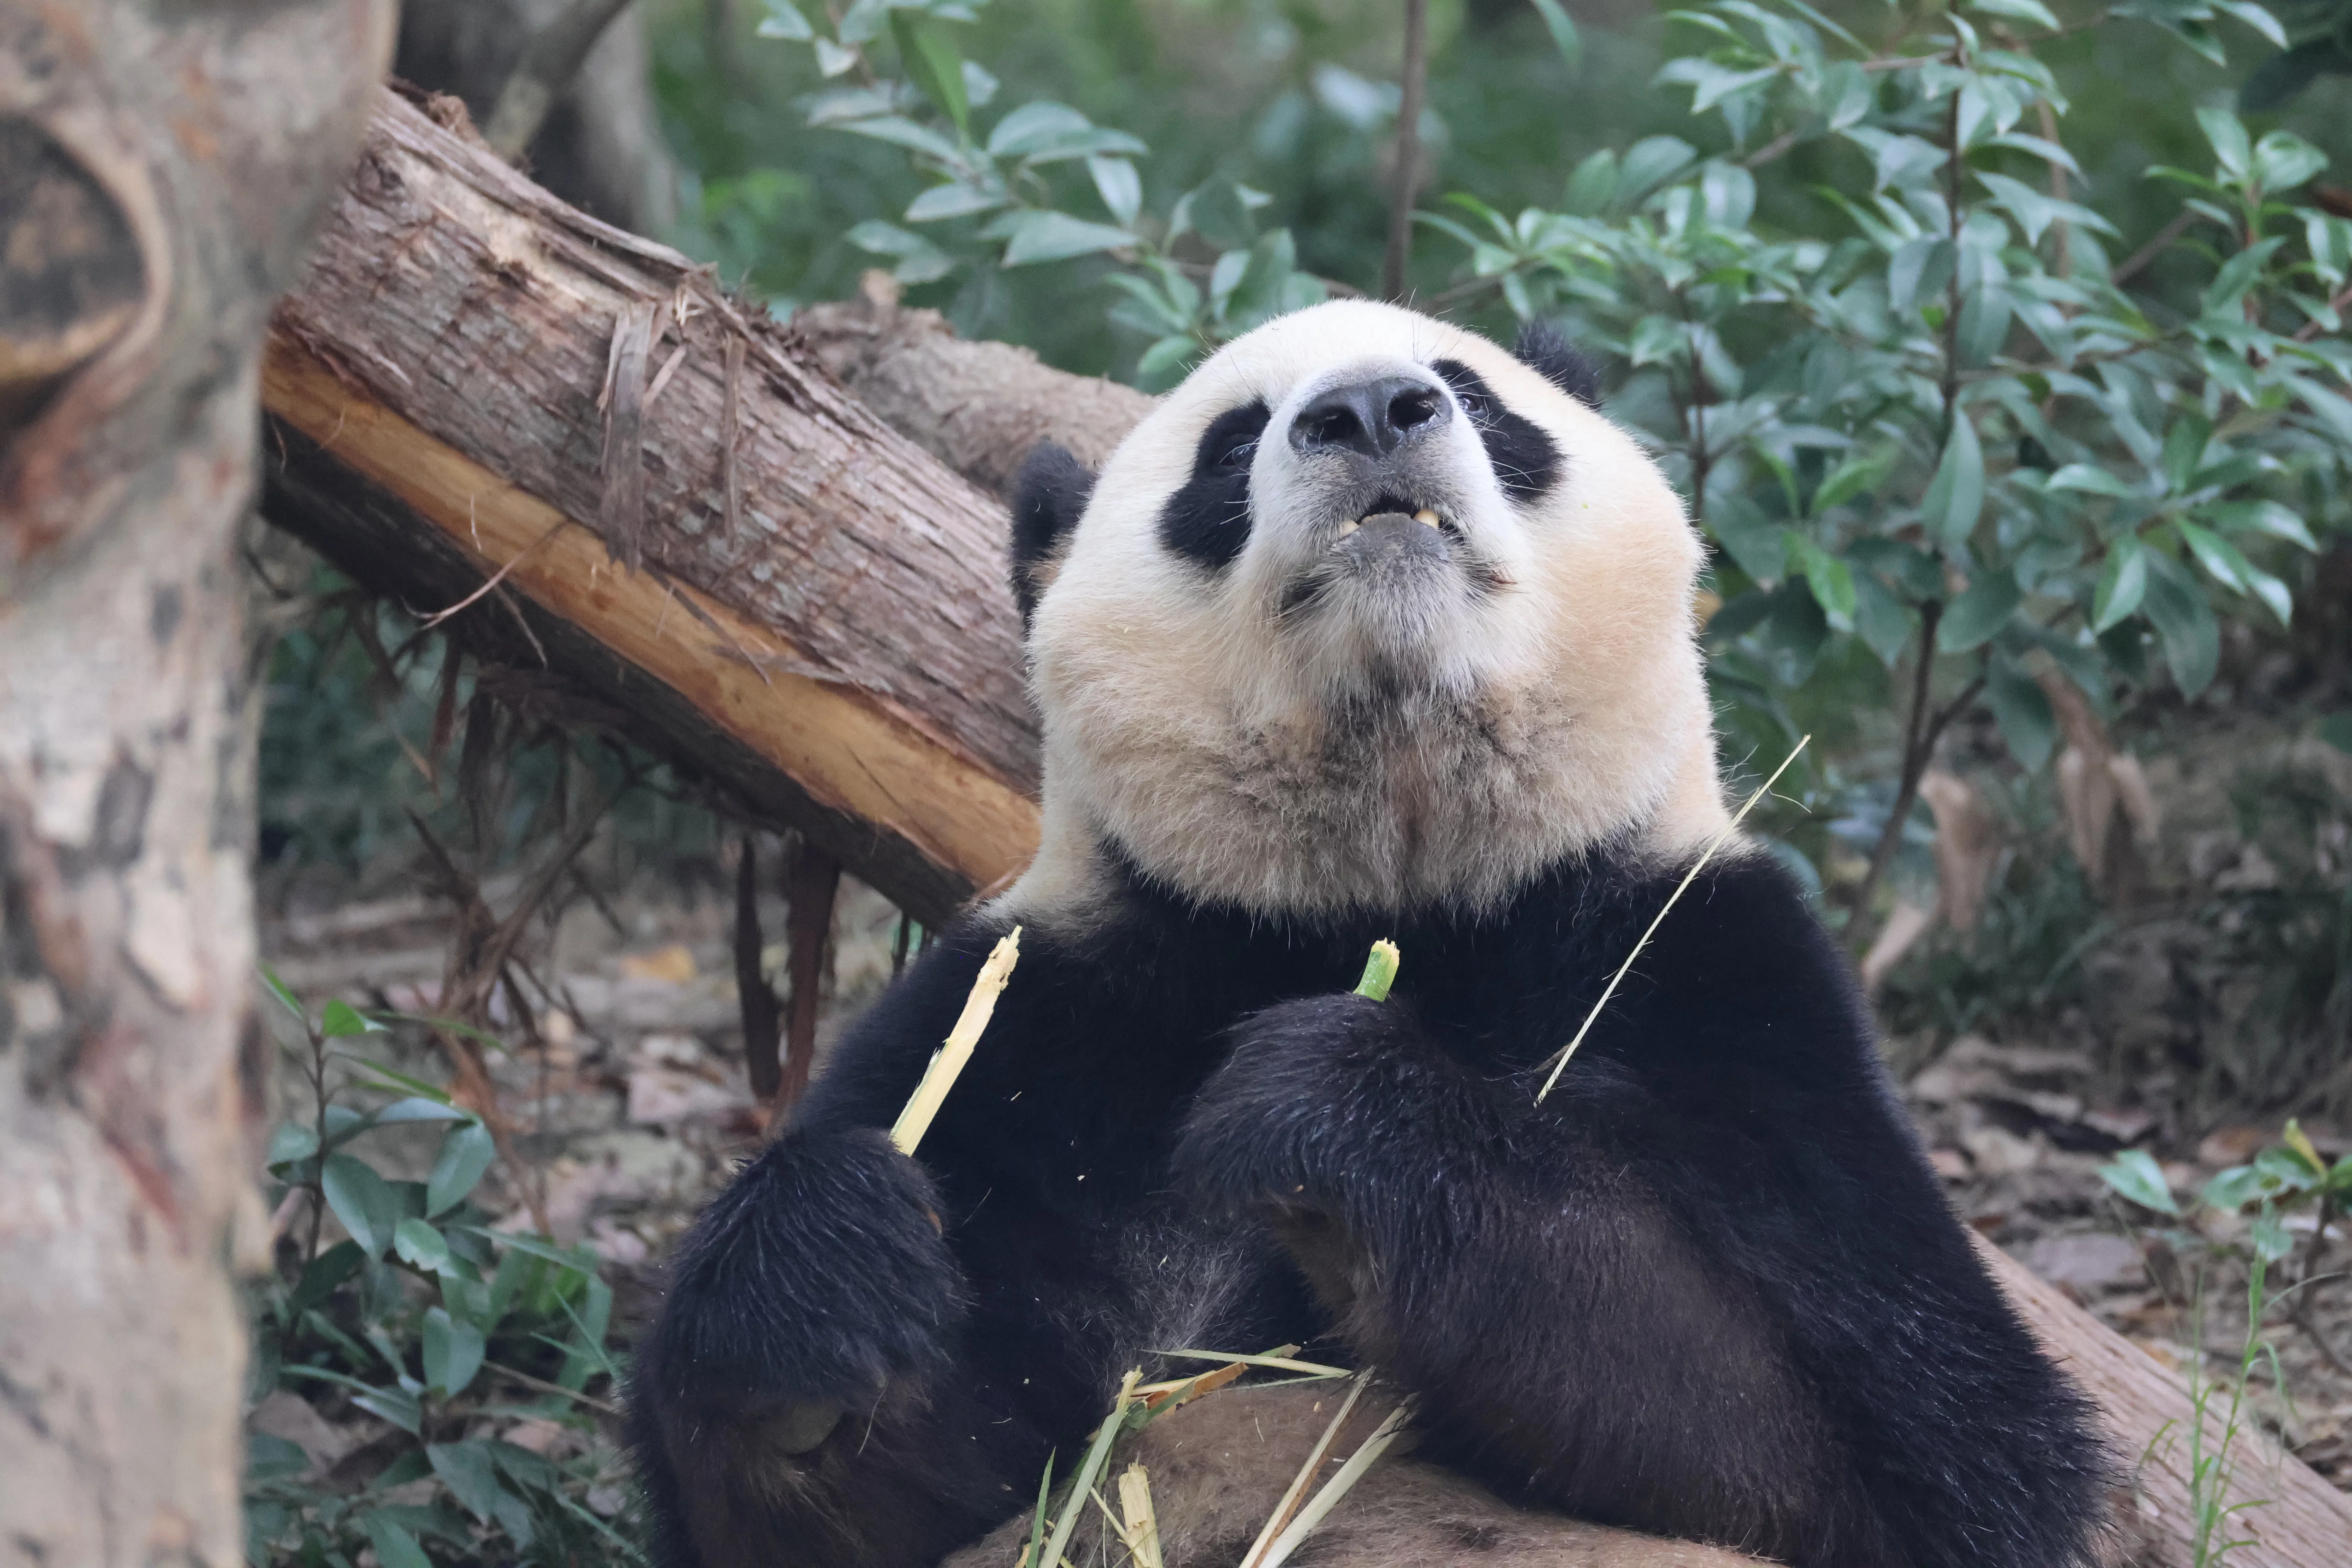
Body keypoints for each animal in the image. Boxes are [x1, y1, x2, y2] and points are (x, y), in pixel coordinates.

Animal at [627, 300, 2111, 1568]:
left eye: (1474, 395)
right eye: (1232, 444)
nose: (1372, 411)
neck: (1389, 887)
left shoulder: (1710, 981)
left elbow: (1915, 1457)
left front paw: (1338, 1121)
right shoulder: (1062, 1025)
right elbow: (869, 1503)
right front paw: (818, 1291)